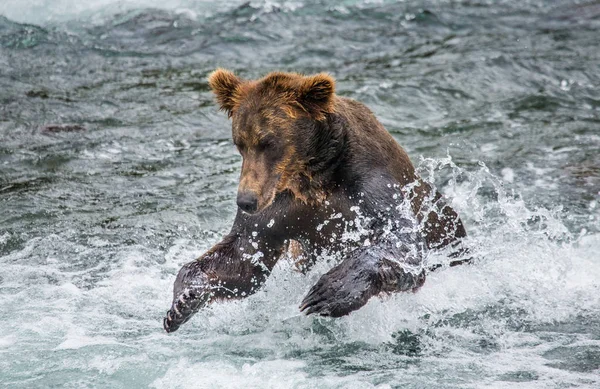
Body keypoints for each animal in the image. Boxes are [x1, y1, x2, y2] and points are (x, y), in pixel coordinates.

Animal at [162, 69, 466, 330]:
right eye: (240, 142)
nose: (245, 201)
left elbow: (402, 241)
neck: (314, 176)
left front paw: (328, 292)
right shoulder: (280, 206)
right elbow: (242, 257)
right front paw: (181, 302)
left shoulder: (368, 183)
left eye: (268, 142)